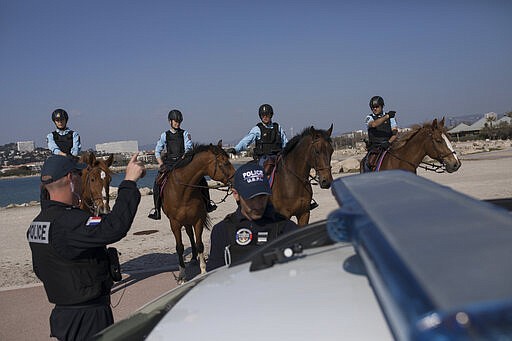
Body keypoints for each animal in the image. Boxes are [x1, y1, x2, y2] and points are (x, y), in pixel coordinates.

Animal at [161, 139, 235, 282]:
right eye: (225, 163)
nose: (235, 178)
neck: (183, 191)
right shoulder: (175, 223)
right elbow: (179, 247)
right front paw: (182, 276)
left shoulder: (198, 219)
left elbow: (199, 243)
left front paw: (203, 270)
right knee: (189, 234)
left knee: (191, 235)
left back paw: (194, 258)